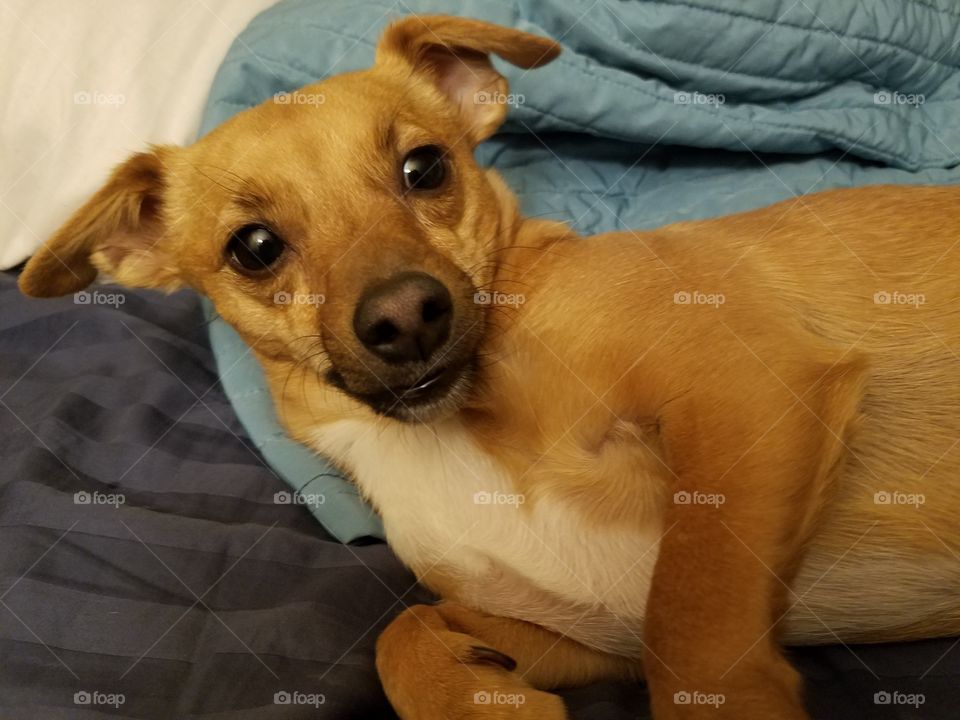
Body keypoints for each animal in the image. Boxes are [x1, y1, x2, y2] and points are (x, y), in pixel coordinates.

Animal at [16, 14, 960, 720]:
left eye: (425, 167)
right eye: (253, 248)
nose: (406, 315)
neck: (439, 435)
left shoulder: (747, 389)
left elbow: (695, 637)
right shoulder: (589, 634)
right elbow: (401, 634)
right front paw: (471, 692)